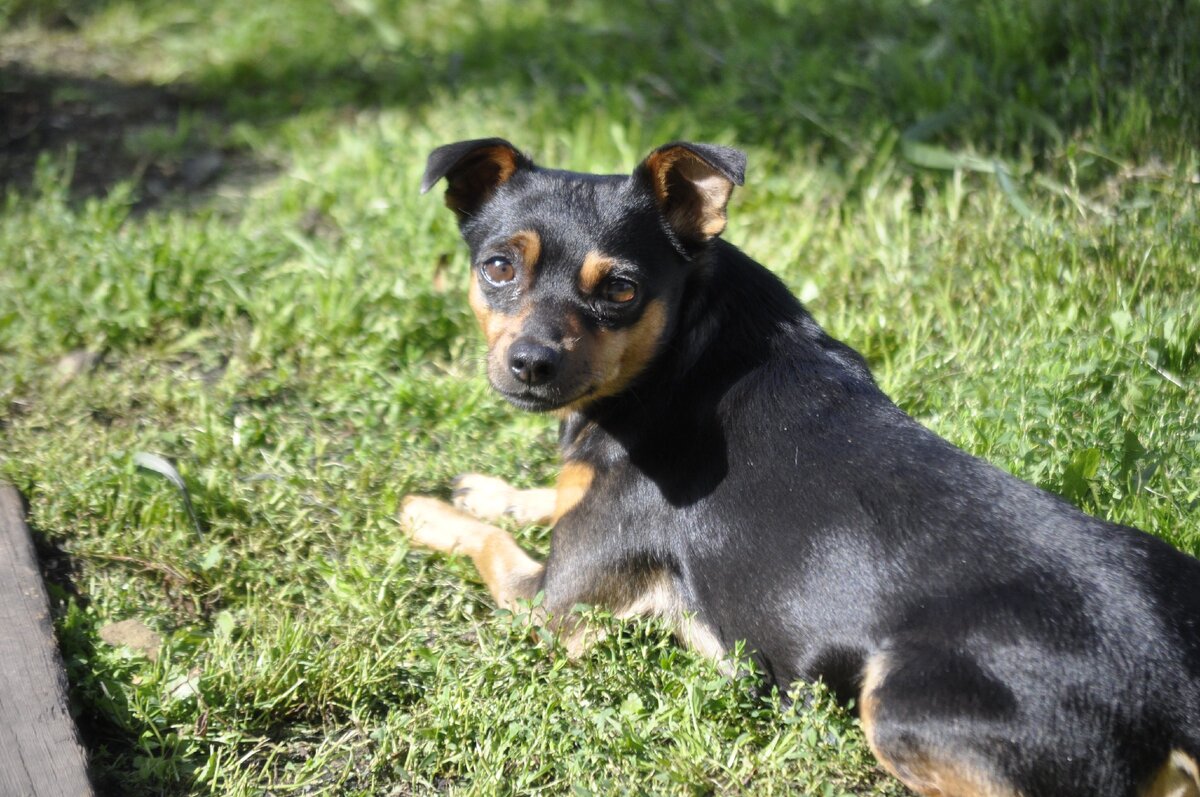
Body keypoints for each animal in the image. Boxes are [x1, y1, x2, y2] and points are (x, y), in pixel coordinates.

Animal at [403, 139, 1200, 792]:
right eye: (498, 267)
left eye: (621, 290)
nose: (530, 363)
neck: (680, 353)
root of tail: (1172, 678)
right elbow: (544, 495)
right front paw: (487, 490)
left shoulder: (555, 602)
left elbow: (488, 544)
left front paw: (424, 511)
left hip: (900, 699)